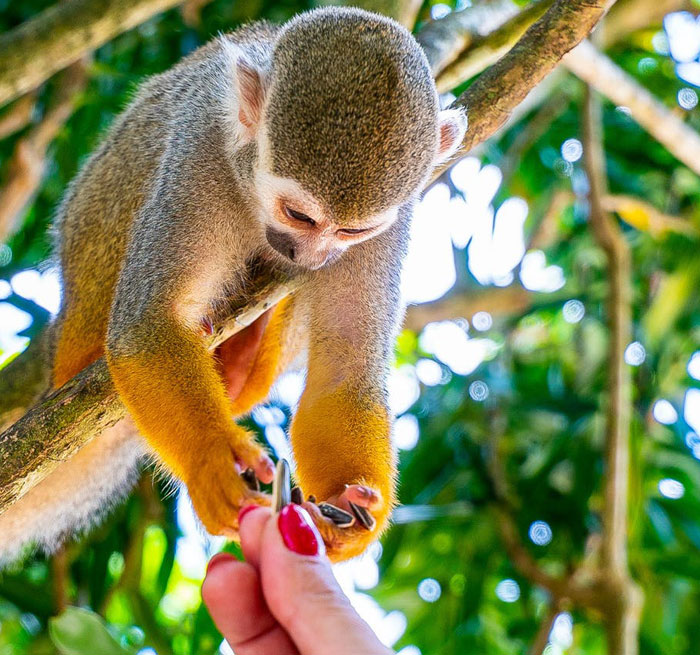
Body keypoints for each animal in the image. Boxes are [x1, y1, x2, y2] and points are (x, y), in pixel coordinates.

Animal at [0, 6, 466, 564]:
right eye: (299, 215)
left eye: (353, 231)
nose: (312, 256)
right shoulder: (200, 147)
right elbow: (145, 326)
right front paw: (212, 459)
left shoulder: (392, 221)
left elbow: (347, 372)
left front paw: (348, 512)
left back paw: (243, 361)